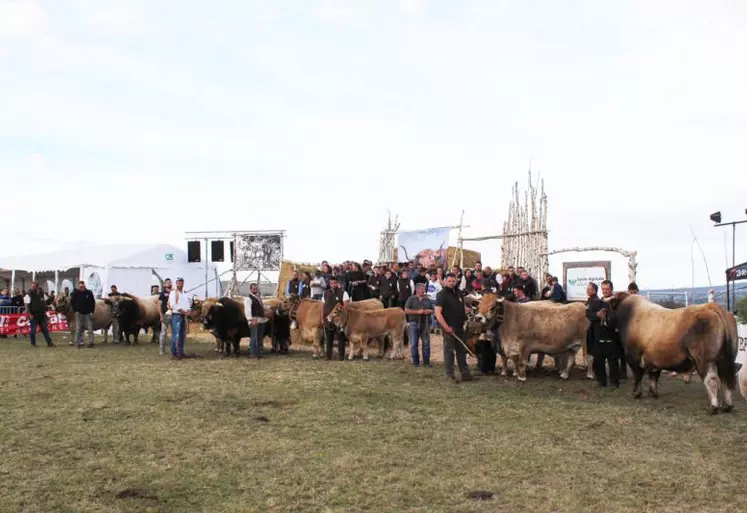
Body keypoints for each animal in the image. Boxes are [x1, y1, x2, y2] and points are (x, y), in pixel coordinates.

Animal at [612, 292, 740, 412]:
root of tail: (710, 306)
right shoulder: (655, 359)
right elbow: (654, 376)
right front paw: (653, 393)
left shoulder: (633, 357)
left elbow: (637, 376)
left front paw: (636, 393)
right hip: (726, 358)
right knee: (726, 379)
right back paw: (727, 406)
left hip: (704, 360)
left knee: (711, 379)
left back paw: (713, 407)